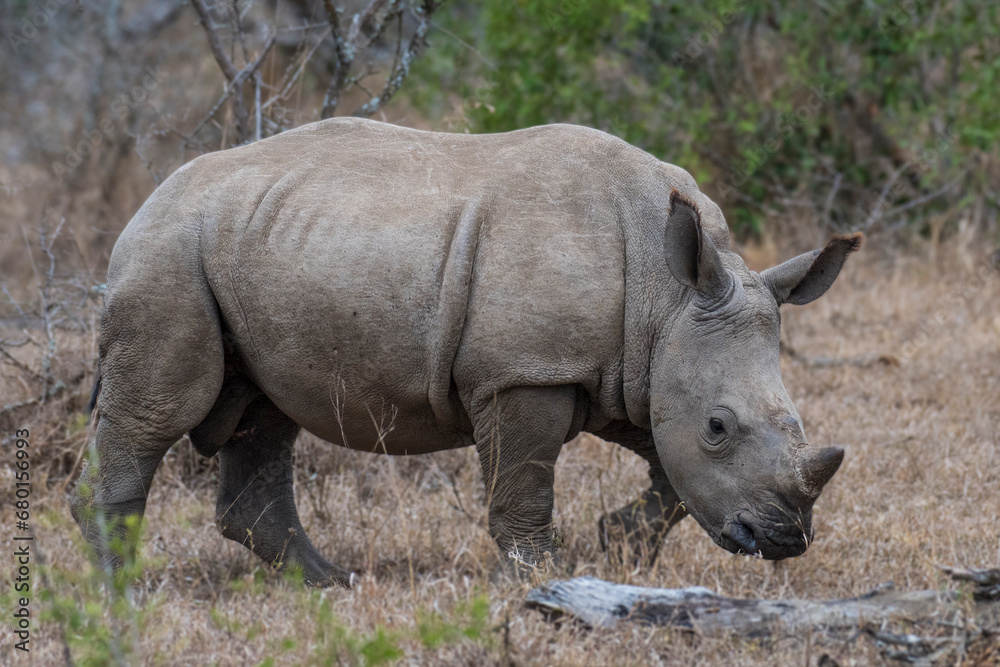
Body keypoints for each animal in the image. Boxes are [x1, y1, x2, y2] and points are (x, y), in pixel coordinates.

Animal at [71, 118, 859, 586]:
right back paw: (117, 590)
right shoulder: (527, 374)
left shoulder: (636, 372)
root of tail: (152, 196)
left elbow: (670, 473)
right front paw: (547, 579)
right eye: (720, 426)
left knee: (262, 416)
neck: (668, 297)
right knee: (162, 410)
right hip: (170, 252)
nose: (783, 539)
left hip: (252, 248)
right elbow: (523, 486)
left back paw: (332, 584)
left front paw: (620, 546)